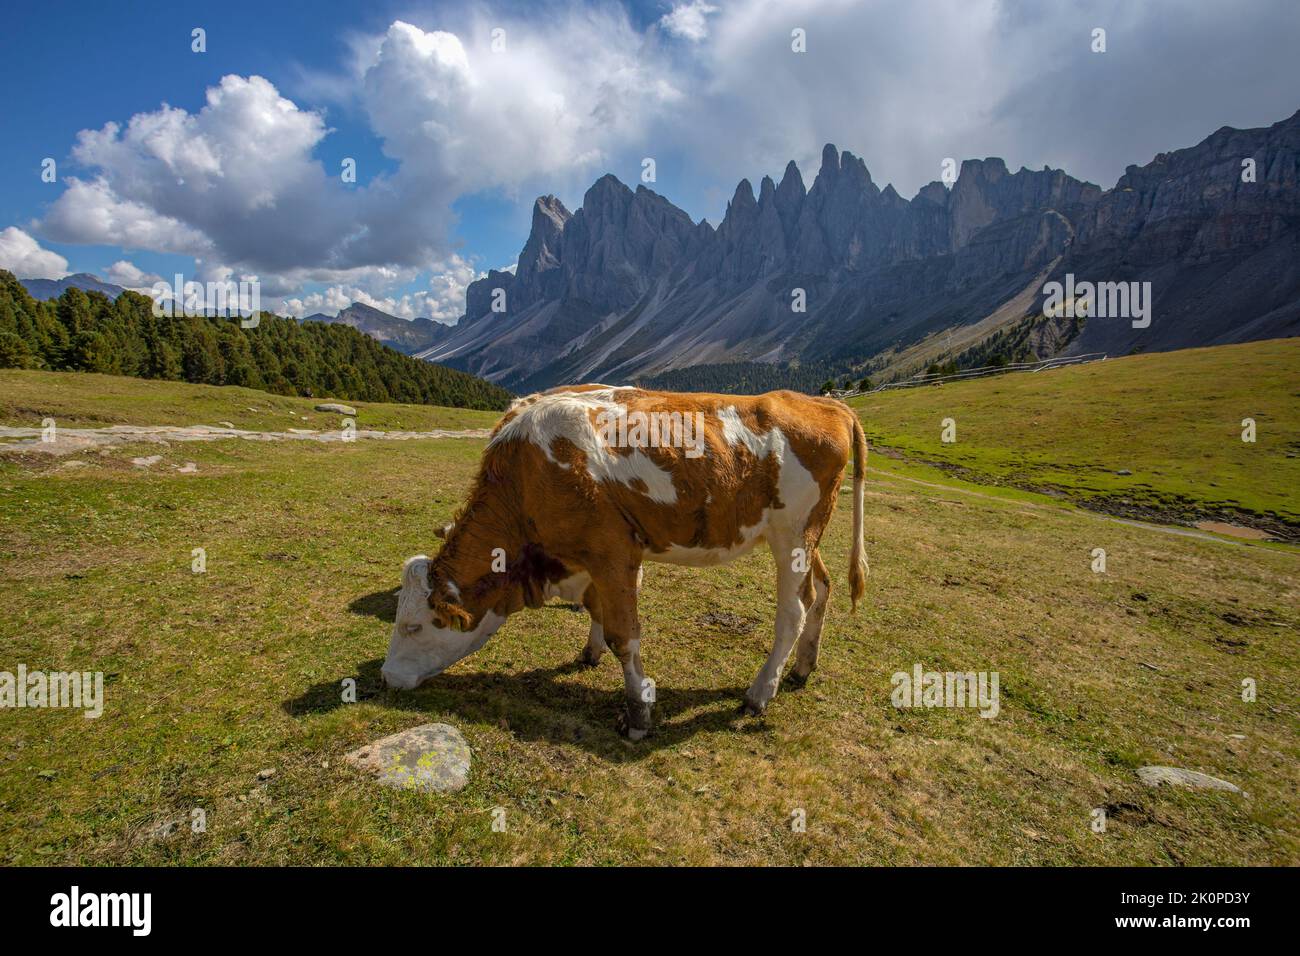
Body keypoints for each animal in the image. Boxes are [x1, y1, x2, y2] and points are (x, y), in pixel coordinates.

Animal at [384, 387, 873, 738]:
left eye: (414, 626)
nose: (388, 677)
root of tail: (821, 401)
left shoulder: (613, 552)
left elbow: (625, 636)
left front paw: (638, 711)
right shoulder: (591, 561)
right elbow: (597, 610)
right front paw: (590, 652)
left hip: (793, 533)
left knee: (792, 612)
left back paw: (758, 694)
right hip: (807, 535)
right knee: (822, 589)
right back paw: (803, 667)